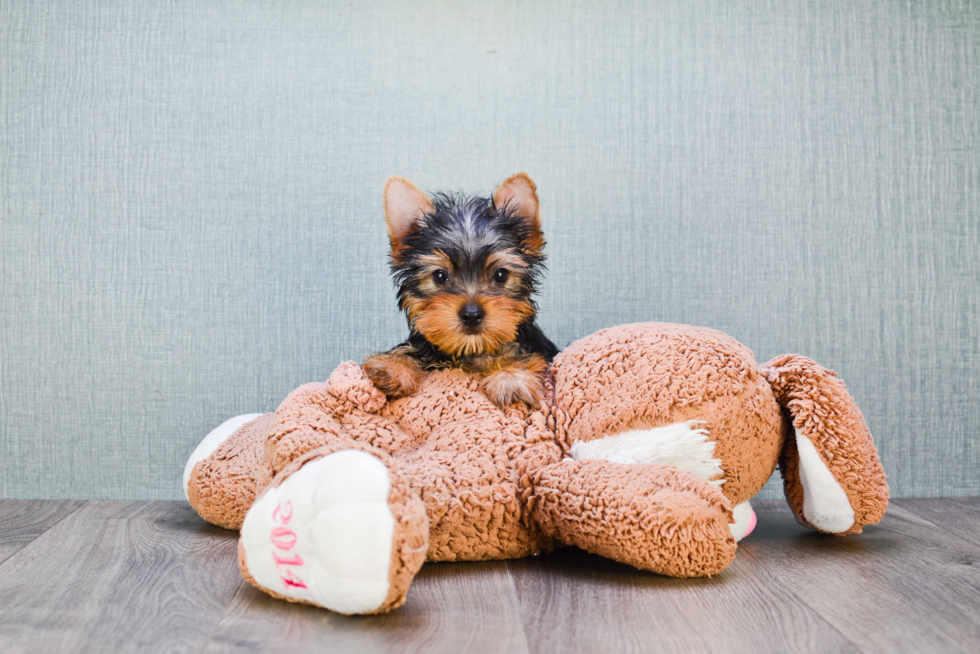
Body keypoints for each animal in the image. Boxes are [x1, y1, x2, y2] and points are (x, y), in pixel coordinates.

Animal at [362, 174, 560, 410]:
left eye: (501, 275)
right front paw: (393, 367)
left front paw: (510, 378)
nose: (472, 314)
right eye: (440, 276)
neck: (471, 351)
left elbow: (521, 355)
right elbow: (414, 352)